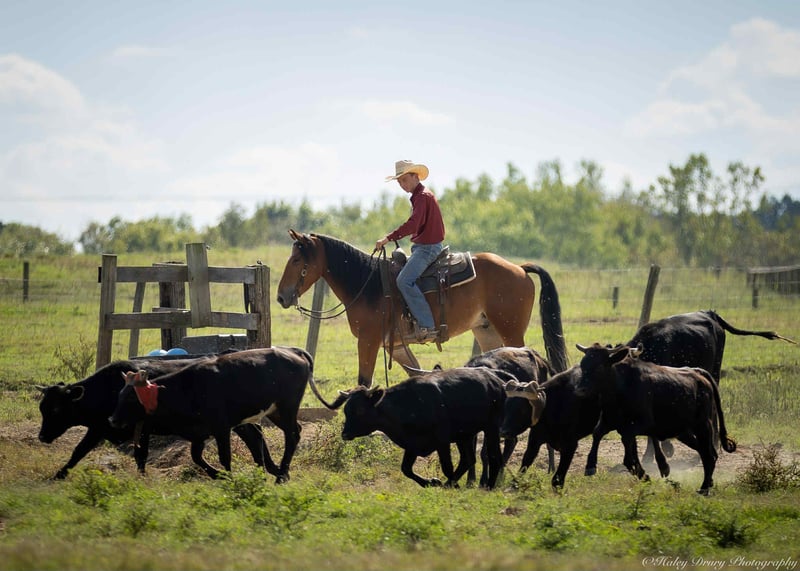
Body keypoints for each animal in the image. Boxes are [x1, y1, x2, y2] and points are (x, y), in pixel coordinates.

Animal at [37, 357, 263, 479]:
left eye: (56, 409)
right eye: (42, 408)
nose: (41, 437)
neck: (107, 390)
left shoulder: (140, 428)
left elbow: (141, 456)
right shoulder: (100, 427)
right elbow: (79, 451)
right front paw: (59, 474)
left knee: (253, 436)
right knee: (254, 435)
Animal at [109, 346, 315, 483]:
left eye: (132, 398)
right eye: (119, 395)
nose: (113, 420)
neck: (187, 389)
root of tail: (294, 353)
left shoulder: (222, 429)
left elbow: (225, 457)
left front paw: (229, 477)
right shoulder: (200, 434)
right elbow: (196, 457)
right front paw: (217, 474)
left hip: (286, 408)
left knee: (292, 435)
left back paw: (281, 476)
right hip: (275, 412)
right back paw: (279, 473)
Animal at [276, 230, 568, 387]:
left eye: (297, 259)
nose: (280, 297)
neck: (368, 283)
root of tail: (519, 268)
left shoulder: (368, 341)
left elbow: (363, 381)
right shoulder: (394, 346)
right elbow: (414, 373)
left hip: (511, 331)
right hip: (487, 332)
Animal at [317, 367, 510, 489]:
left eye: (360, 410)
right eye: (346, 410)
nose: (345, 433)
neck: (407, 405)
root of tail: (494, 380)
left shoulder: (442, 441)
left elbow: (446, 467)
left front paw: (446, 484)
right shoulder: (412, 444)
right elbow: (406, 469)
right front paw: (432, 482)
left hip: (491, 428)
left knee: (494, 457)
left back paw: (487, 486)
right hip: (465, 435)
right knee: (468, 459)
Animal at [576, 343, 737, 494]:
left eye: (600, 366)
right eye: (583, 365)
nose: (580, 390)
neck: (621, 385)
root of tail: (698, 373)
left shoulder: (643, 424)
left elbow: (628, 445)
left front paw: (643, 471)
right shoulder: (610, 421)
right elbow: (598, 433)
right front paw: (590, 466)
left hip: (703, 425)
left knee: (709, 455)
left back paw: (704, 488)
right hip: (684, 432)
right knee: (705, 453)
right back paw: (708, 483)